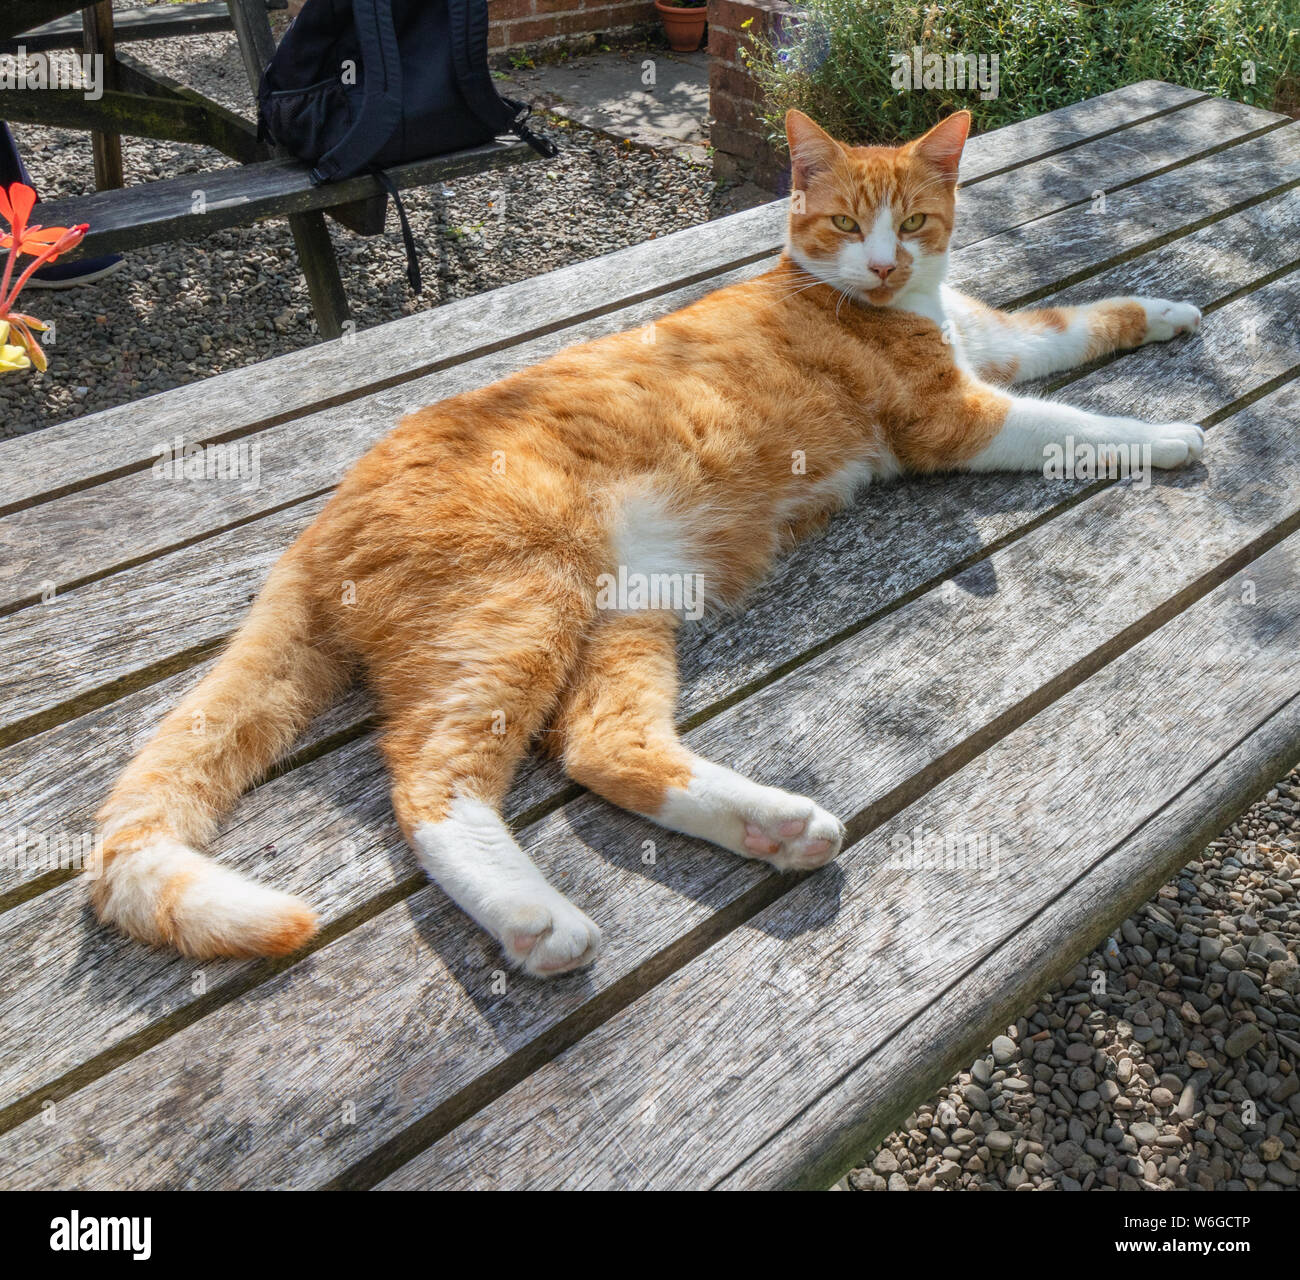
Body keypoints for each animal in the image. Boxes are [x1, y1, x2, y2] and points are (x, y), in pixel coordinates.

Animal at [96, 109, 1201, 972]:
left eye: (916, 221)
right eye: (845, 222)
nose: (885, 263)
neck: (894, 301)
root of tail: (321, 524)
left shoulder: (994, 347)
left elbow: (1078, 319)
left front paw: (1172, 308)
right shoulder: (957, 420)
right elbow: (1073, 427)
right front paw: (1170, 434)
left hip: (629, 607)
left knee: (599, 744)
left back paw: (774, 825)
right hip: (523, 604)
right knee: (429, 778)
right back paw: (535, 917)